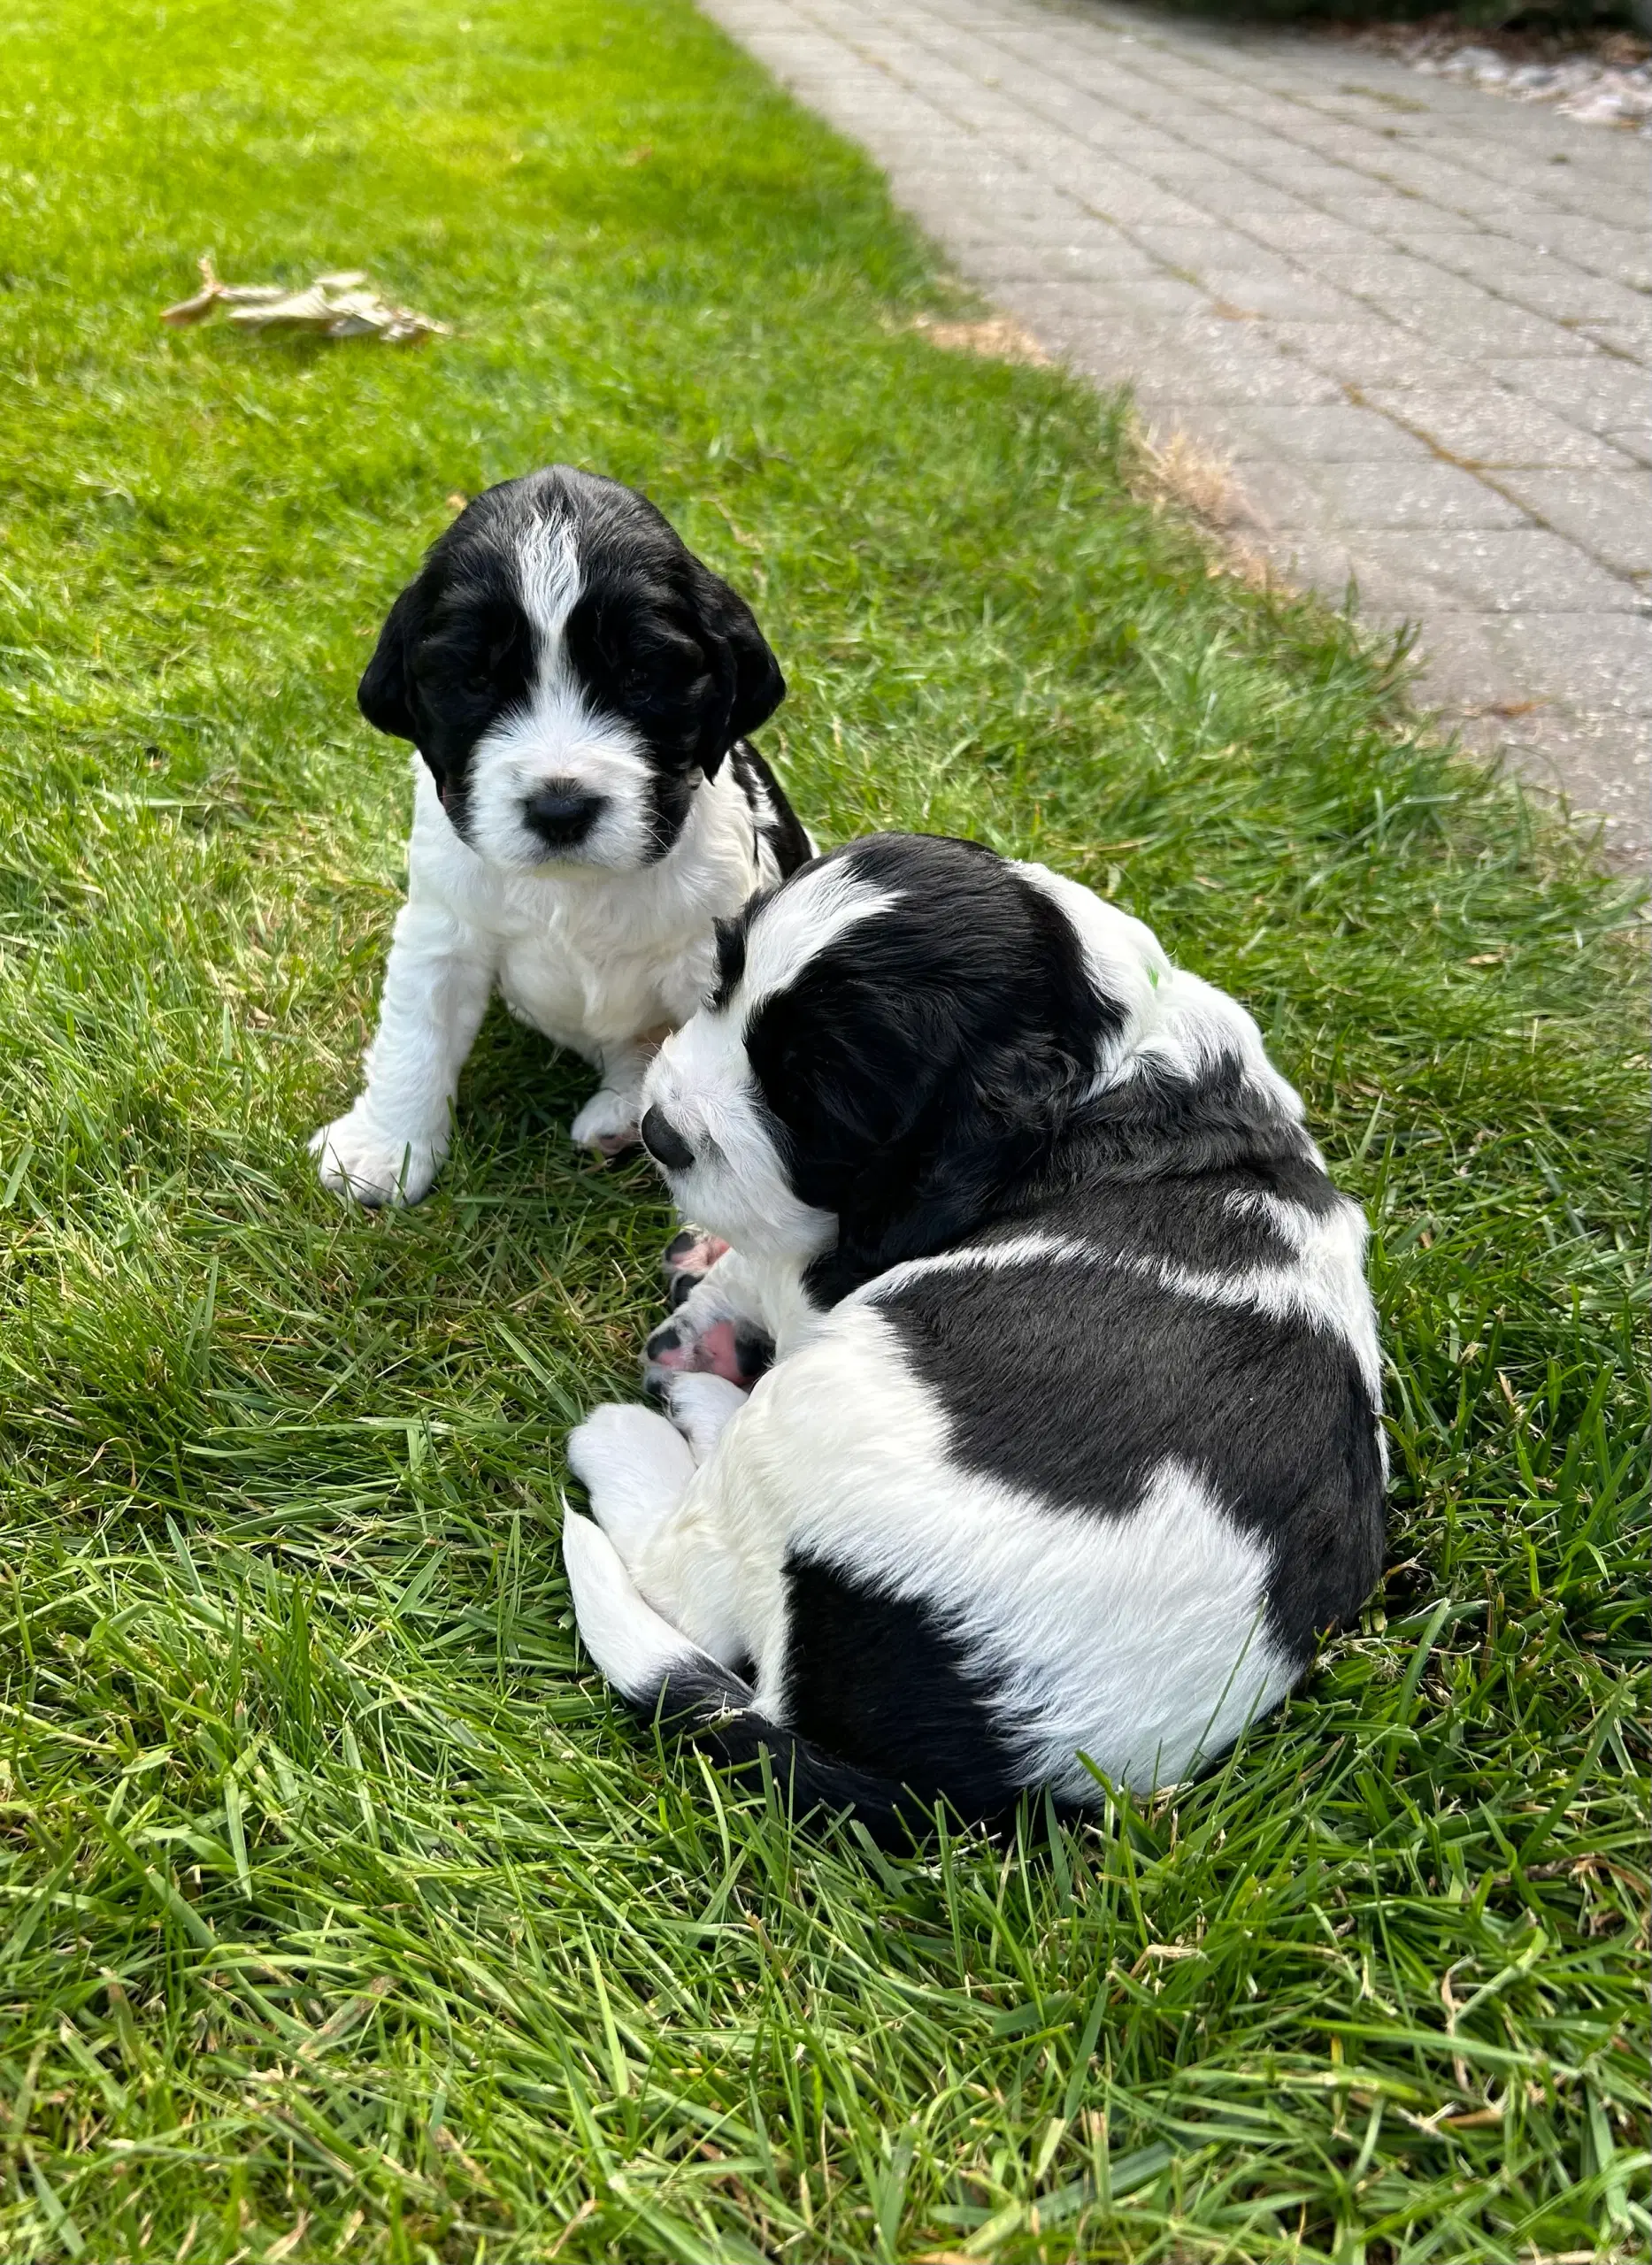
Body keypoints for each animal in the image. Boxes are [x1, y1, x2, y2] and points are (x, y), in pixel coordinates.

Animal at [310, 459, 811, 1204]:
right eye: (476, 679)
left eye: (640, 676)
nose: (560, 808)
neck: (575, 888)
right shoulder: (444, 929)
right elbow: (415, 1036)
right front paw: (384, 1147)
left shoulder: (712, 962)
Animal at [559, 833, 1387, 1839]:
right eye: (723, 983)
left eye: (809, 1096)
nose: (659, 1132)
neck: (1109, 1053)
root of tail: (987, 1780)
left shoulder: (835, 1268)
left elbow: (770, 1257)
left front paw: (710, 1297)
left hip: (811, 1425)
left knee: (686, 1577)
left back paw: (657, 1420)